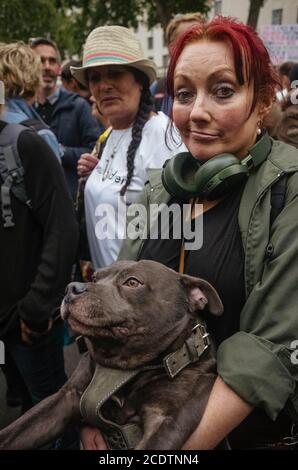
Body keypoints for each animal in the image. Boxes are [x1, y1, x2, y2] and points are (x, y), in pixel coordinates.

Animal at [0, 258, 224, 450]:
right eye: (93, 278)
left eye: (132, 282)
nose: (72, 288)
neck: (124, 366)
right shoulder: (66, 399)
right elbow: (15, 432)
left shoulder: (166, 422)